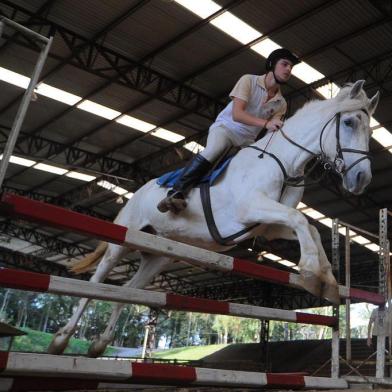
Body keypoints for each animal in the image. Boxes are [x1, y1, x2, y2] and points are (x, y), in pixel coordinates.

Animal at [46, 79, 380, 356]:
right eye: (349, 122)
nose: (362, 179)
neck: (284, 162)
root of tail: (137, 192)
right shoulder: (250, 208)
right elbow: (300, 221)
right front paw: (311, 273)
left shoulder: (269, 226)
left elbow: (307, 226)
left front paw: (327, 281)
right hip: (123, 239)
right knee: (98, 279)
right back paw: (62, 339)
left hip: (157, 256)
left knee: (128, 290)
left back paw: (100, 344)